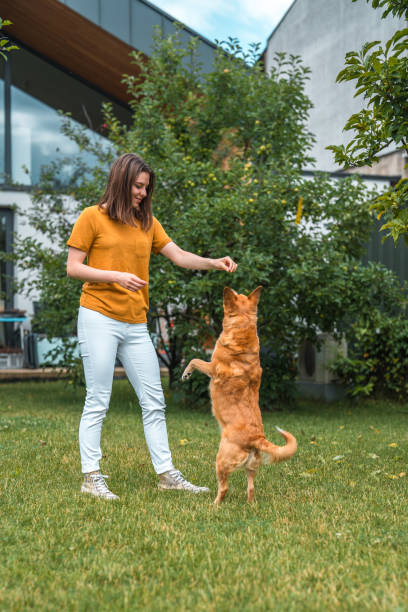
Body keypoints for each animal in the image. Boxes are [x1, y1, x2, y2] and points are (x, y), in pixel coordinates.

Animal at [182, 286, 296, 502]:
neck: (243, 328)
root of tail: (257, 438)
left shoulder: (211, 367)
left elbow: (194, 359)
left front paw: (186, 373)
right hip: (251, 467)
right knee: (251, 489)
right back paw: (250, 504)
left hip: (221, 460)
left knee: (224, 488)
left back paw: (214, 504)